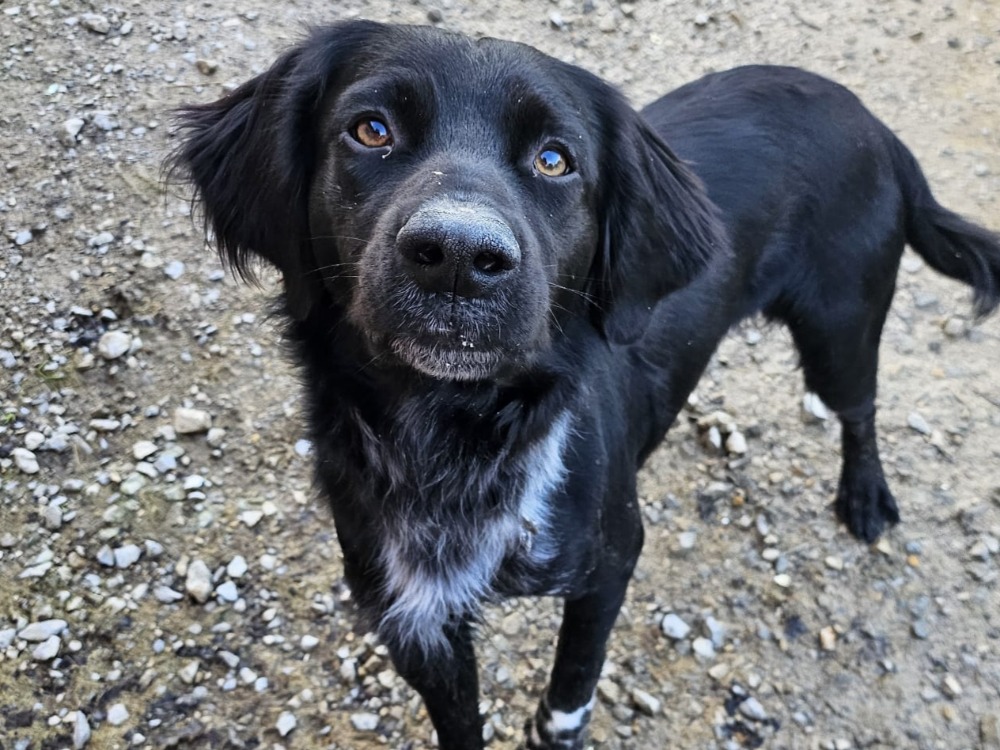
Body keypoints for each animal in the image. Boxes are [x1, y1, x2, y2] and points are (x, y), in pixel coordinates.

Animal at [172, 20, 1000, 750]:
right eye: (370, 130)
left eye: (554, 160)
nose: (458, 257)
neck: (457, 438)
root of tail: (872, 120)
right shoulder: (415, 617)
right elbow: (459, 723)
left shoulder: (610, 562)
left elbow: (569, 692)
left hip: (840, 327)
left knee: (860, 409)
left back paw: (864, 496)